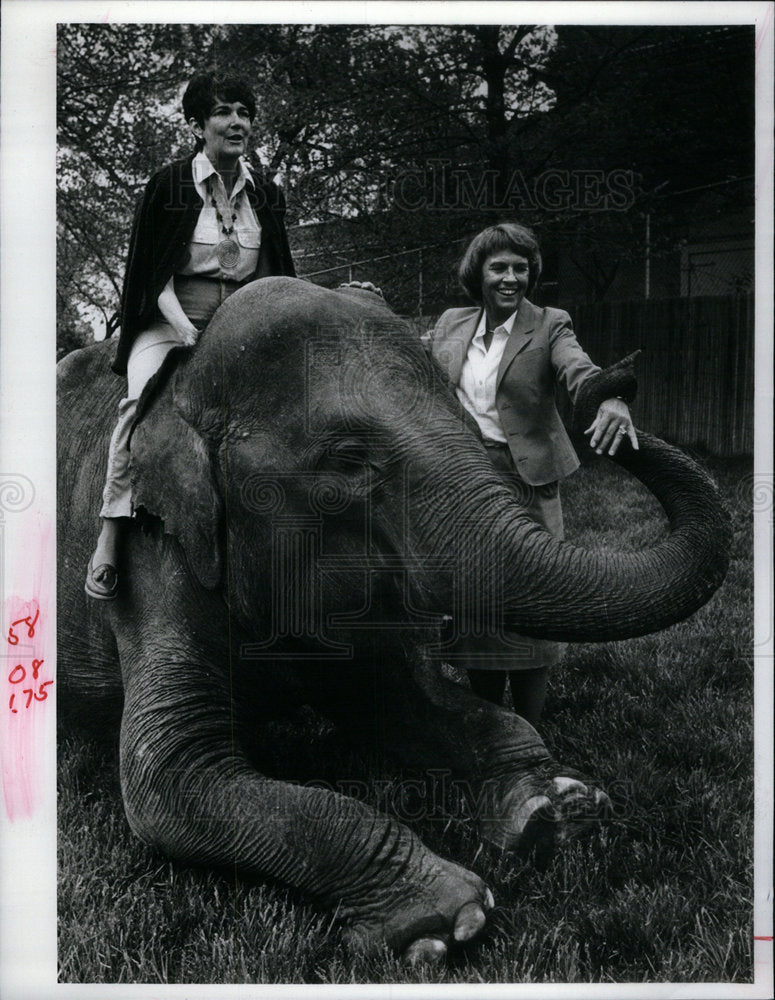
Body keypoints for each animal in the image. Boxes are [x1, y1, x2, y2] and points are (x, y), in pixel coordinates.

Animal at [57, 274, 732, 960]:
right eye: (349, 459)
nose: (617, 386)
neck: (179, 387)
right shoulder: (152, 556)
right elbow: (164, 780)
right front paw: (448, 918)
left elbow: (408, 701)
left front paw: (559, 809)